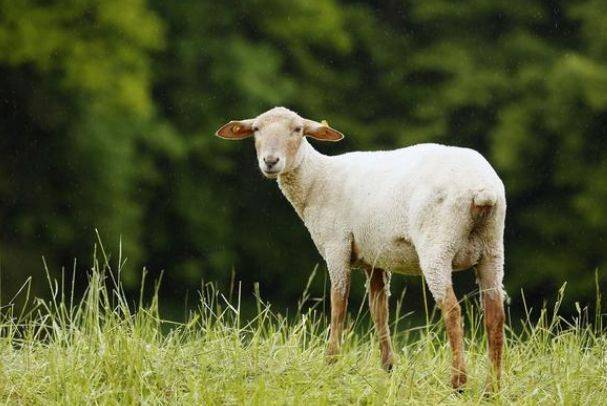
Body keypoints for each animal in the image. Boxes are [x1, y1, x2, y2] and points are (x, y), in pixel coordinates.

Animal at [216, 106, 506, 392]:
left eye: (297, 129)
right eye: (256, 129)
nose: (270, 161)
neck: (318, 181)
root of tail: (482, 189)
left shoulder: (337, 244)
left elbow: (338, 302)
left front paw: (330, 362)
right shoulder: (374, 257)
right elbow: (379, 310)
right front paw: (388, 368)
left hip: (437, 244)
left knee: (452, 310)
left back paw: (458, 382)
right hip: (492, 248)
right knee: (495, 314)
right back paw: (492, 387)